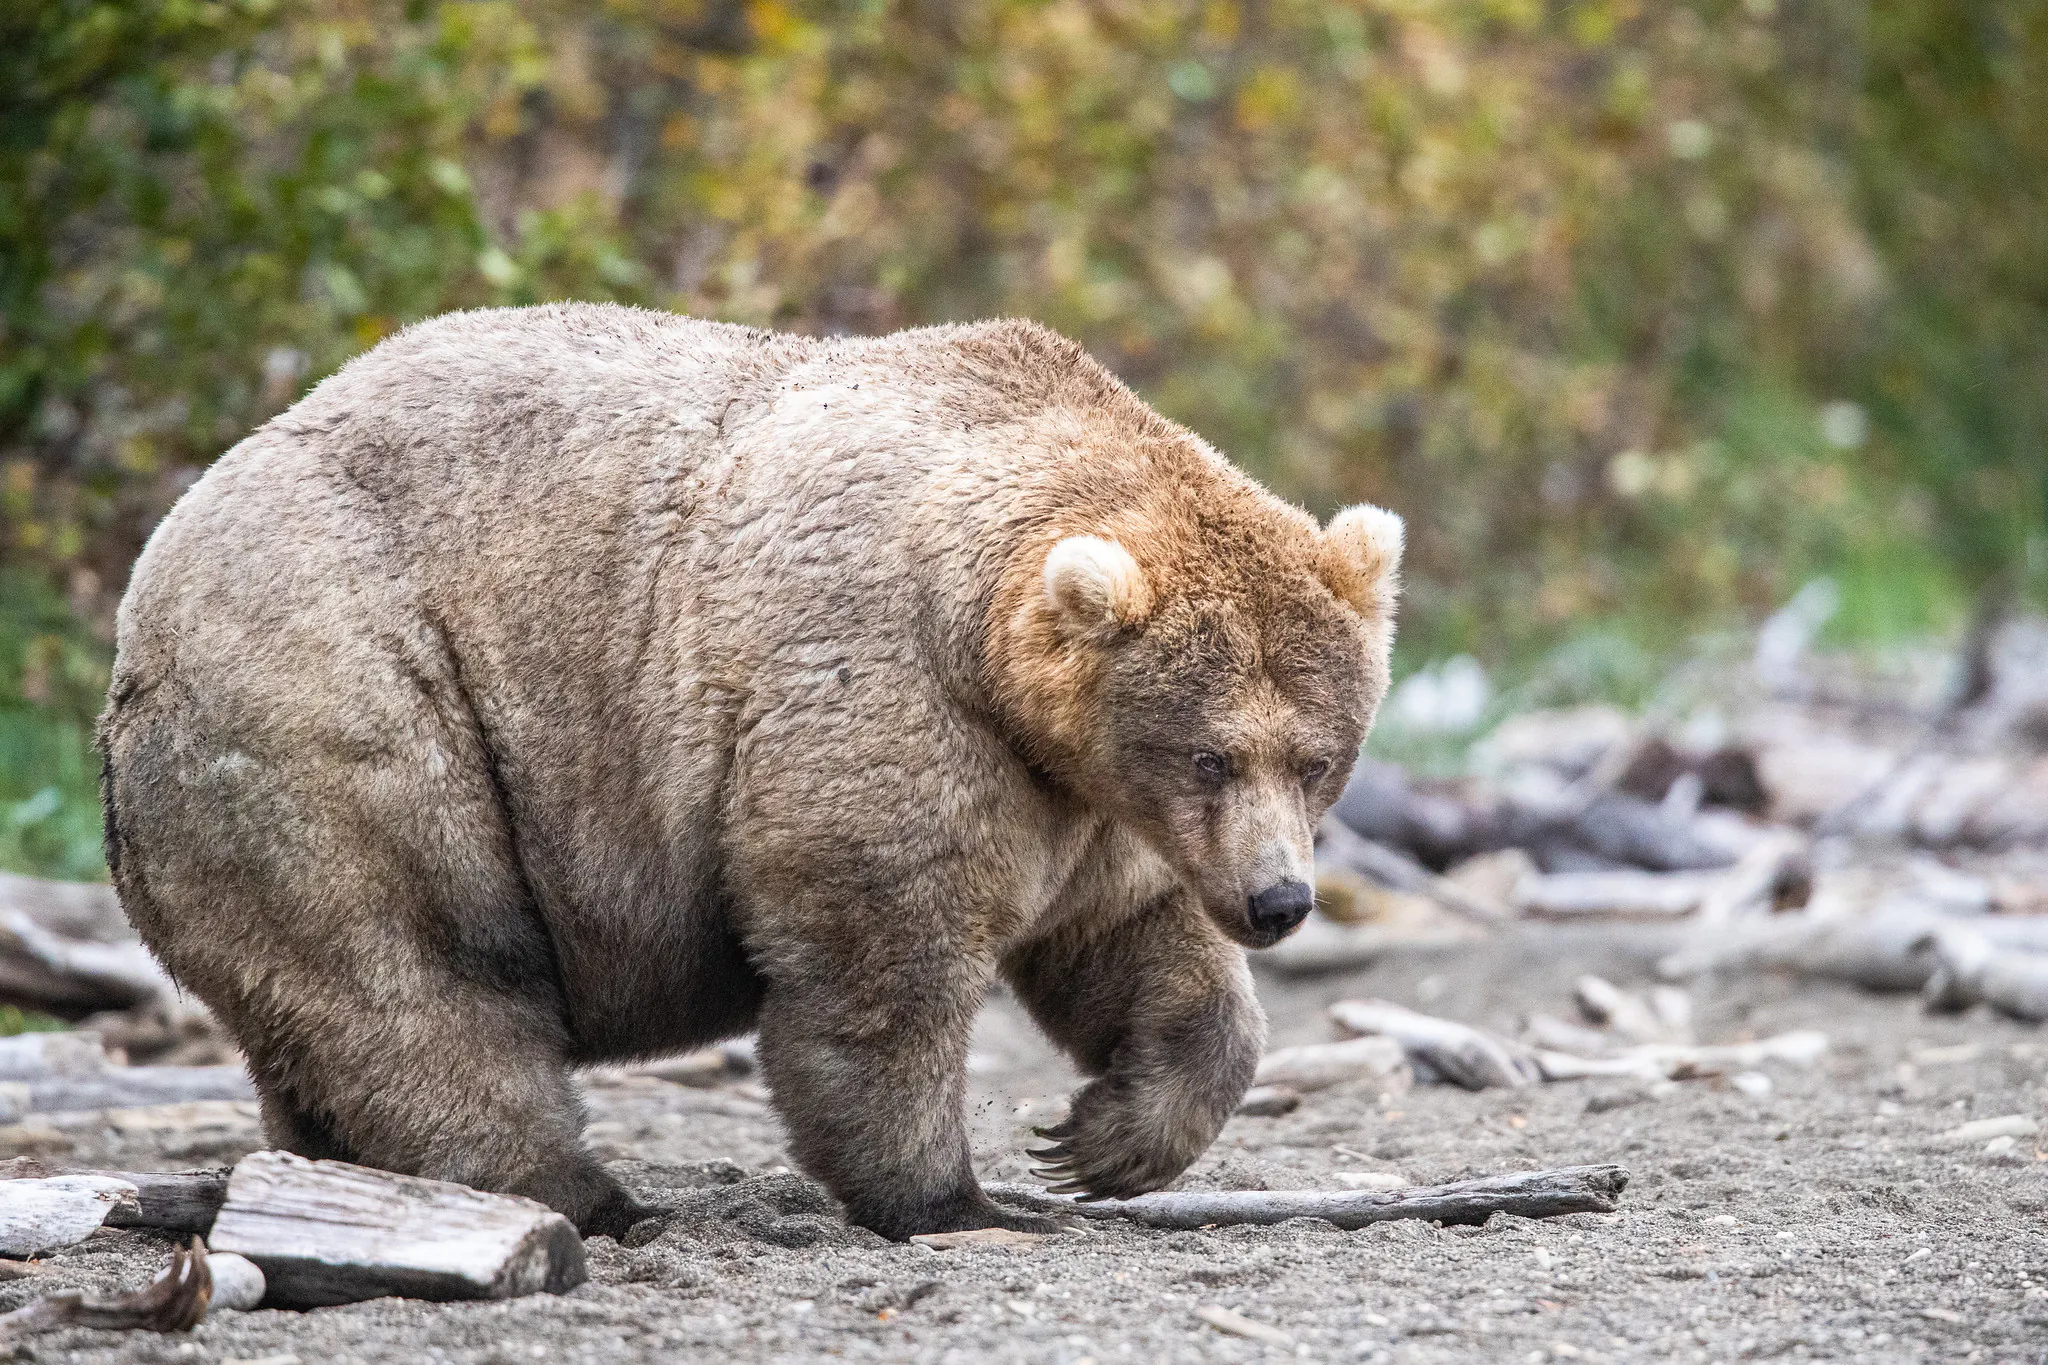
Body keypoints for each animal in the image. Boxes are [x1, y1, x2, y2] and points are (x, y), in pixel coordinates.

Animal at [97, 304, 1403, 1240]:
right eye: (1209, 751)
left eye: (1317, 757)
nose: (1278, 902)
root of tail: (148, 587)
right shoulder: (887, 694)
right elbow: (879, 957)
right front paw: (954, 1198)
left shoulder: (1085, 799)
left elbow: (1130, 941)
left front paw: (1103, 1140)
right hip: (349, 699)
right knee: (419, 969)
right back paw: (584, 1195)